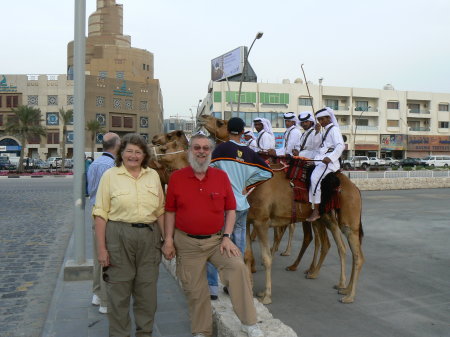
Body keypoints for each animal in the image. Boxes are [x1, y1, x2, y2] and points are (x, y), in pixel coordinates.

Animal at [199, 114, 364, 304]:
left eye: (220, 122)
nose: (202, 117)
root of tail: (355, 188)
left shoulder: (261, 221)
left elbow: (266, 258)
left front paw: (266, 296)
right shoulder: (248, 220)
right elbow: (246, 254)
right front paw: (251, 287)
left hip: (348, 219)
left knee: (357, 255)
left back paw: (349, 295)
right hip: (327, 217)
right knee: (340, 247)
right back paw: (339, 285)